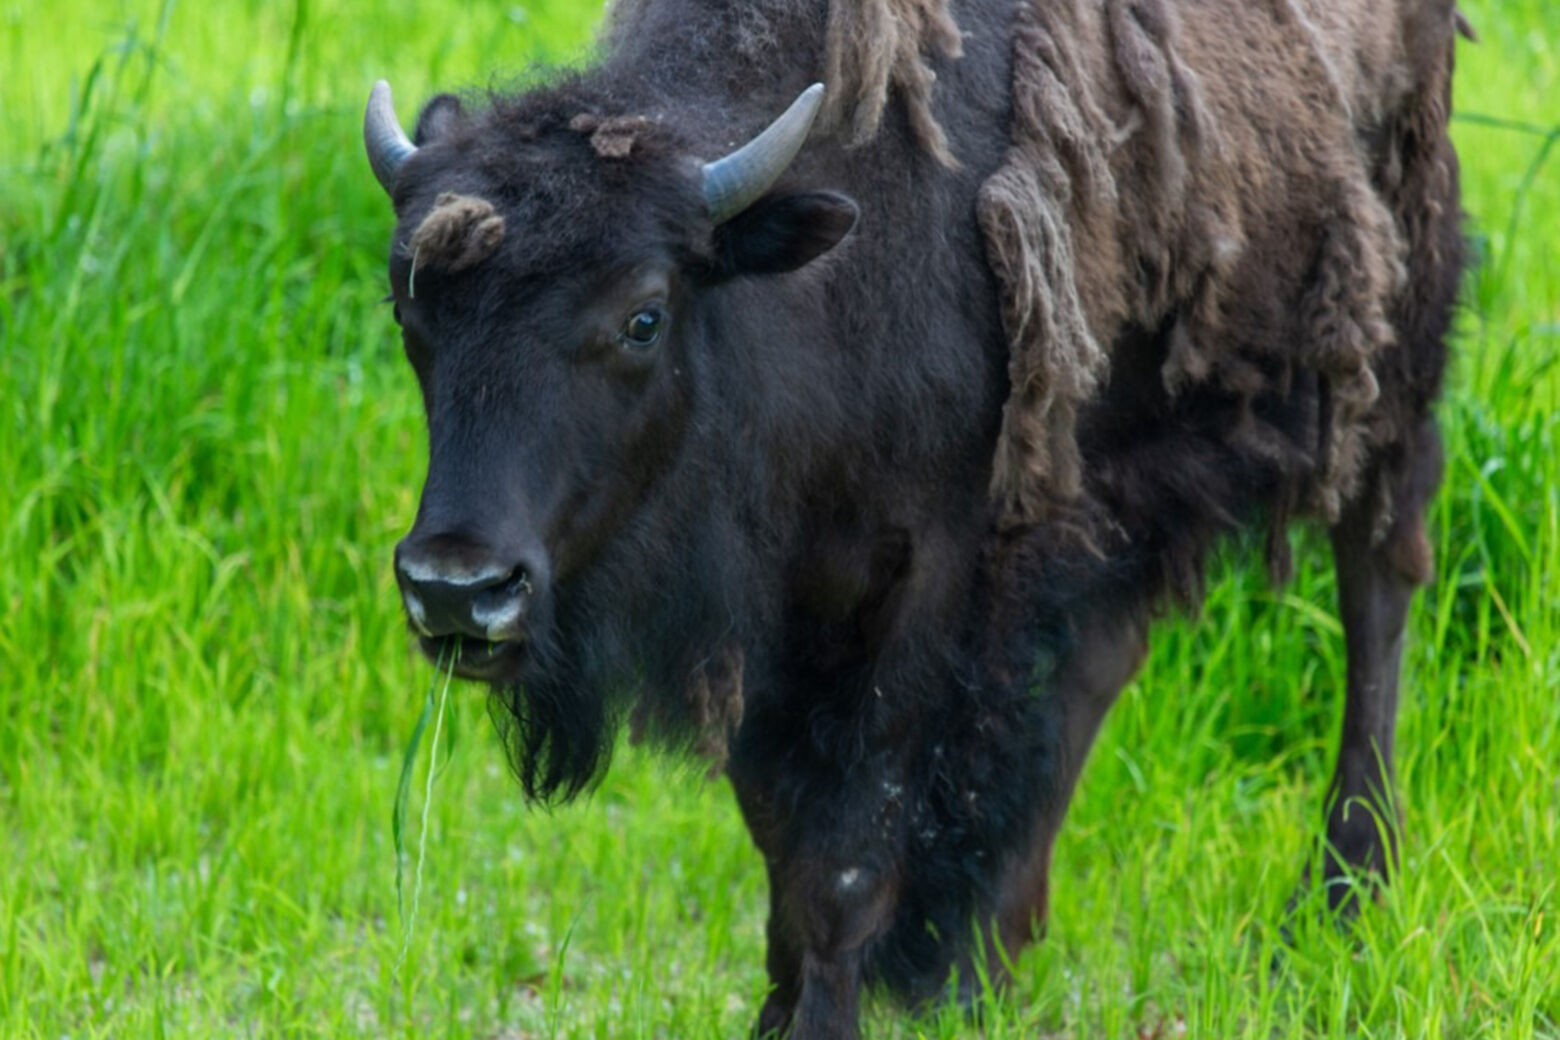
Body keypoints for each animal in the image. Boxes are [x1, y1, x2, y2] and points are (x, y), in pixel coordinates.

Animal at [361, 0, 1460, 1035]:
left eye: (643, 315)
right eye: (411, 313)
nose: (457, 588)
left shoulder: (927, 584)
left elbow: (849, 850)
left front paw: (825, 1017)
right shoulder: (782, 617)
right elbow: (782, 834)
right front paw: (785, 1007)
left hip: (1385, 350)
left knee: (1379, 580)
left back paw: (1343, 894)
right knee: (1100, 661)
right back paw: (989, 967)